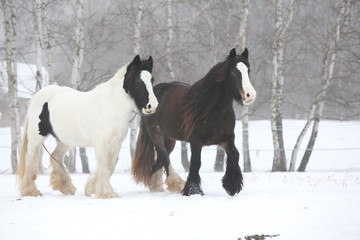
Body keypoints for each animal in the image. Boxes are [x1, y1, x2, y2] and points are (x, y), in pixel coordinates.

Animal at [17, 54, 158, 199]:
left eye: (151, 79)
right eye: (138, 79)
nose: (152, 106)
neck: (112, 105)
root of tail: (38, 96)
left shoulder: (116, 144)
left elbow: (110, 167)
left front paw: (91, 188)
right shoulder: (101, 144)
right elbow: (104, 167)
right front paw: (107, 193)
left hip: (65, 140)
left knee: (56, 156)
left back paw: (65, 186)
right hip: (36, 137)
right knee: (30, 159)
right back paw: (30, 191)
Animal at [132, 47, 256, 196]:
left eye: (248, 71)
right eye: (234, 72)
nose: (250, 95)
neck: (215, 110)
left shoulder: (227, 139)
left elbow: (235, 154)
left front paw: (231, 186)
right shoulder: (196, 141)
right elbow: (196, 163)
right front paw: (192, 190)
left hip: (170, 139)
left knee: (160, 161)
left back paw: (157, 187)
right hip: (156, 133)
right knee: (164, 156)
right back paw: (175, 184)